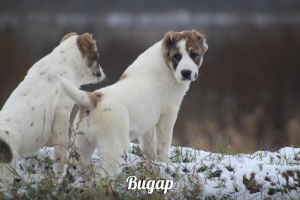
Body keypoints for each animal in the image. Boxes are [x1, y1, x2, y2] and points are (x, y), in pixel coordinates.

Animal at [0, 32, 105, 182]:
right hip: (7, 169)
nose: (102, 73)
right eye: (96, 55)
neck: (61, 62)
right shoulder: (62, 113)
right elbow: (61, 148)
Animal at [60, 29, 207, 177]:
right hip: (115, 148)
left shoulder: (148, 124)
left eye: (194, 54)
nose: (186, 72)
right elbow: (163, 144)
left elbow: (149, 144)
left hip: (80, 146)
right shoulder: (167, 116)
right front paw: (166, 164)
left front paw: (151, 162)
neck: (166, 63)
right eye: (177, 56)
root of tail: (94, 99)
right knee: (105, 175)